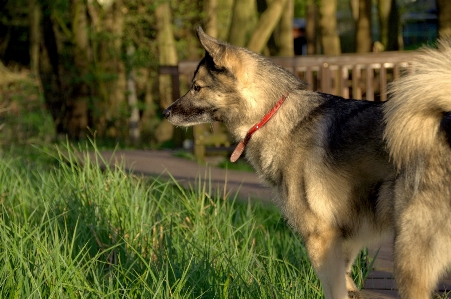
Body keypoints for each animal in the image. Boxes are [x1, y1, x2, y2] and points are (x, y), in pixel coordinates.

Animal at [163, 27, 451, 298]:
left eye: (197, 87)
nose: (165, 112)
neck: (272, 113)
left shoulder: (320, 239)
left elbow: (334, 290)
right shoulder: (345, 240)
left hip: (408, 256)